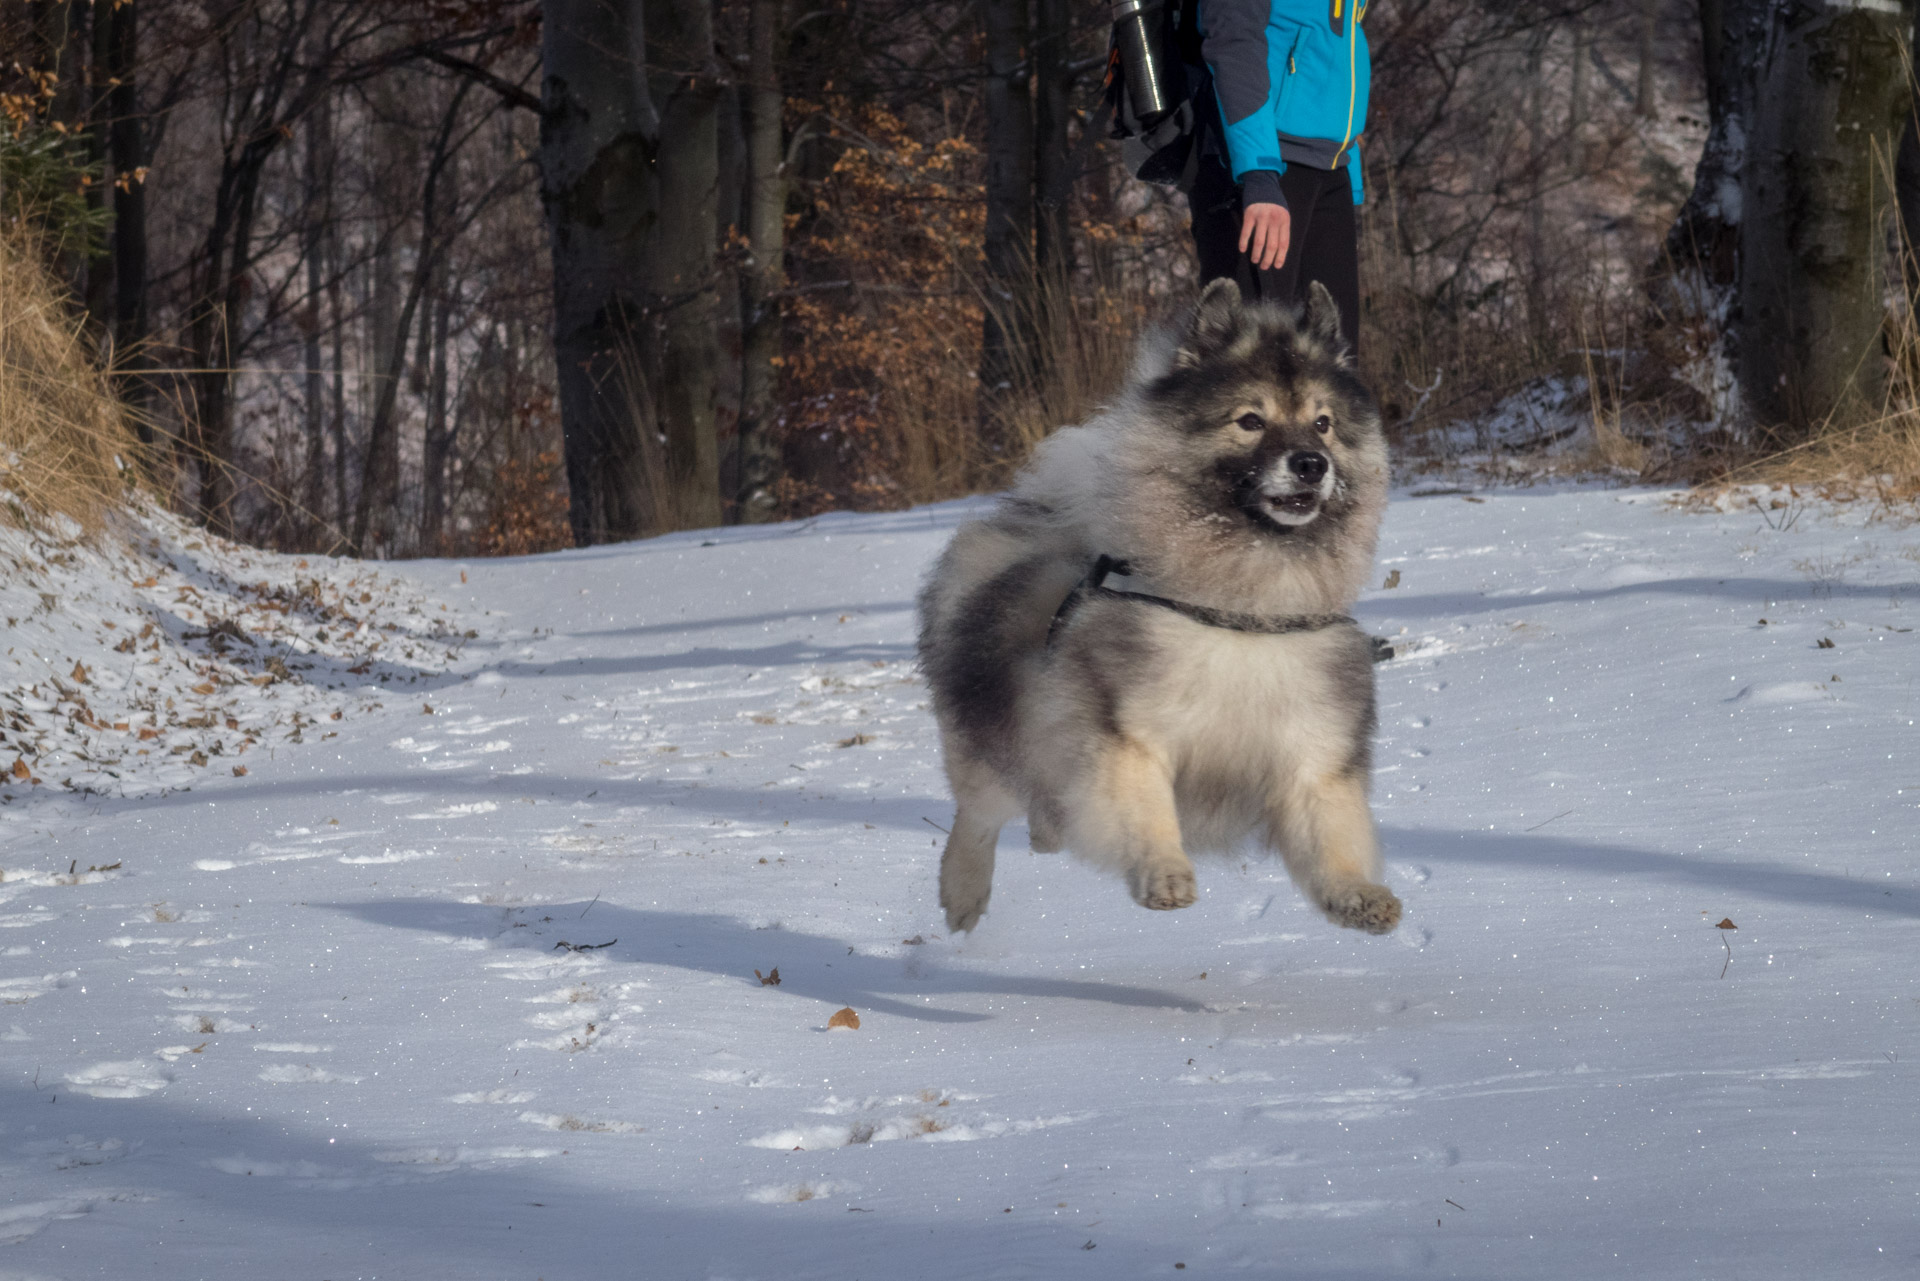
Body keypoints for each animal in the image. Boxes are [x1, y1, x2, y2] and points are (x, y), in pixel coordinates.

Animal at [913, 280, 1397, 937]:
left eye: (1322, 424)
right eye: (1251, 420)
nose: (1310, 464)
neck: (1240, 613)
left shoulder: (1313, 757)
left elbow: (1333, 840)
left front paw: (1359, 896)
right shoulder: (1128, 737)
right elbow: (1145, 812)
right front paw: (1165, 875)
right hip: (1001, 743)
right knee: (978, 815)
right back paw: (963, 894)